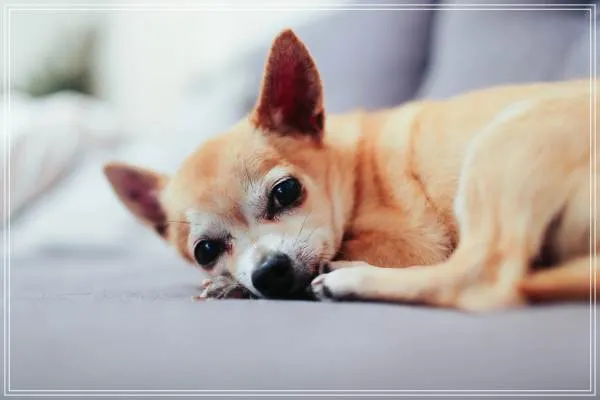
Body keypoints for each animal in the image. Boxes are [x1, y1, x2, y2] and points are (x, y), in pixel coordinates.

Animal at [104, 29, 598, 311]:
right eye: (205, 251)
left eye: (286, 192)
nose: (268, 271)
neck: (354, 169)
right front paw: (230, 281)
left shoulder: (414, 245)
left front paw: (232, 287)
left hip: (505, 141)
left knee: (481, 278)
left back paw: (350, 278)